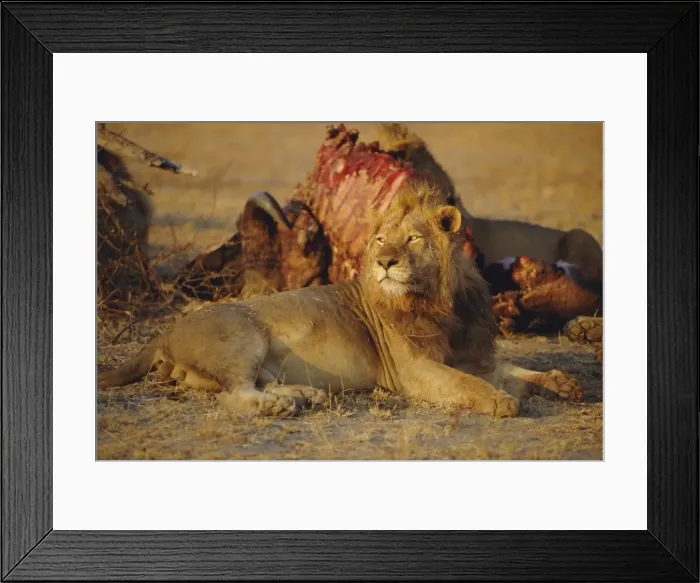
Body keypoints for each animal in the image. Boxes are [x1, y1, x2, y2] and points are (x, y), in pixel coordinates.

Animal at [98, 181, 582, 418]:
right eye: (381, 240)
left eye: (412, 239)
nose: (386, 261)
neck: (441, 301)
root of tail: (165, 333)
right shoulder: (413, 371)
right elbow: (469, 384)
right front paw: (500, 402)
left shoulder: (471, 356)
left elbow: (510, 369)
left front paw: (559, 382)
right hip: (242, 335)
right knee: (234, 394)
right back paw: (278, 406)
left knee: (255, 383)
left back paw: (302, 395)